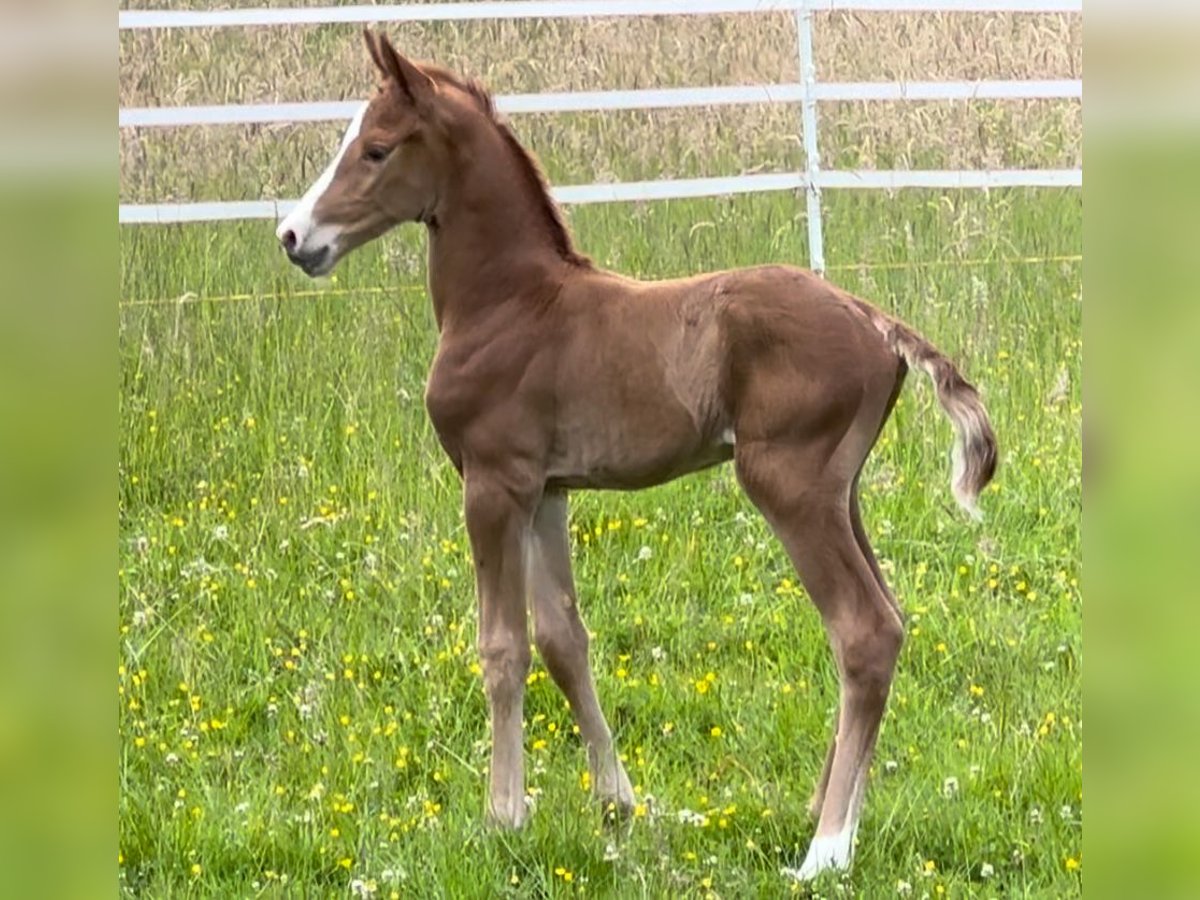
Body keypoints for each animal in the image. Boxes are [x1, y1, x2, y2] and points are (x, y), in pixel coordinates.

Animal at [276, 30, 998, 883]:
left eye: (377, 148)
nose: (294, 237)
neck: (510, 303)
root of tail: (875, 319)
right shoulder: (547, 490)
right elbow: (563, 640)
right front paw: (616, 805)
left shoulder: (492, 483)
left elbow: (501, 647)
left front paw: (504, 817)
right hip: (840, 492)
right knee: (888, 620)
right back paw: (827, 820)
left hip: (787, 485)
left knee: (865, 632)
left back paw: (824, 852)